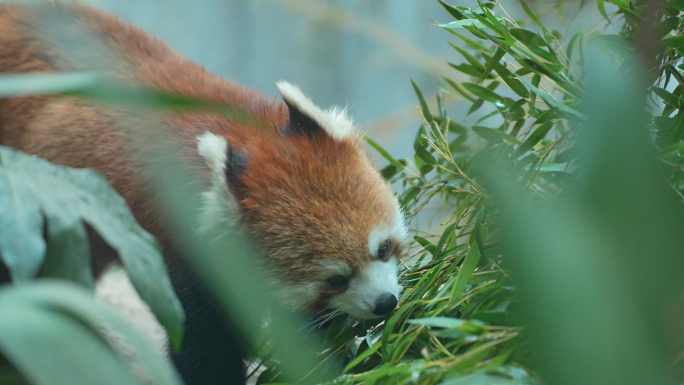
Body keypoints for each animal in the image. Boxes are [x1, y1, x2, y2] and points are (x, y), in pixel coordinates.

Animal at [0, 2, 406, 380]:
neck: (242, 135)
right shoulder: (190, 254)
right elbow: (204, 346)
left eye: (383, 248)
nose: (385, 303)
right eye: (335, 280)